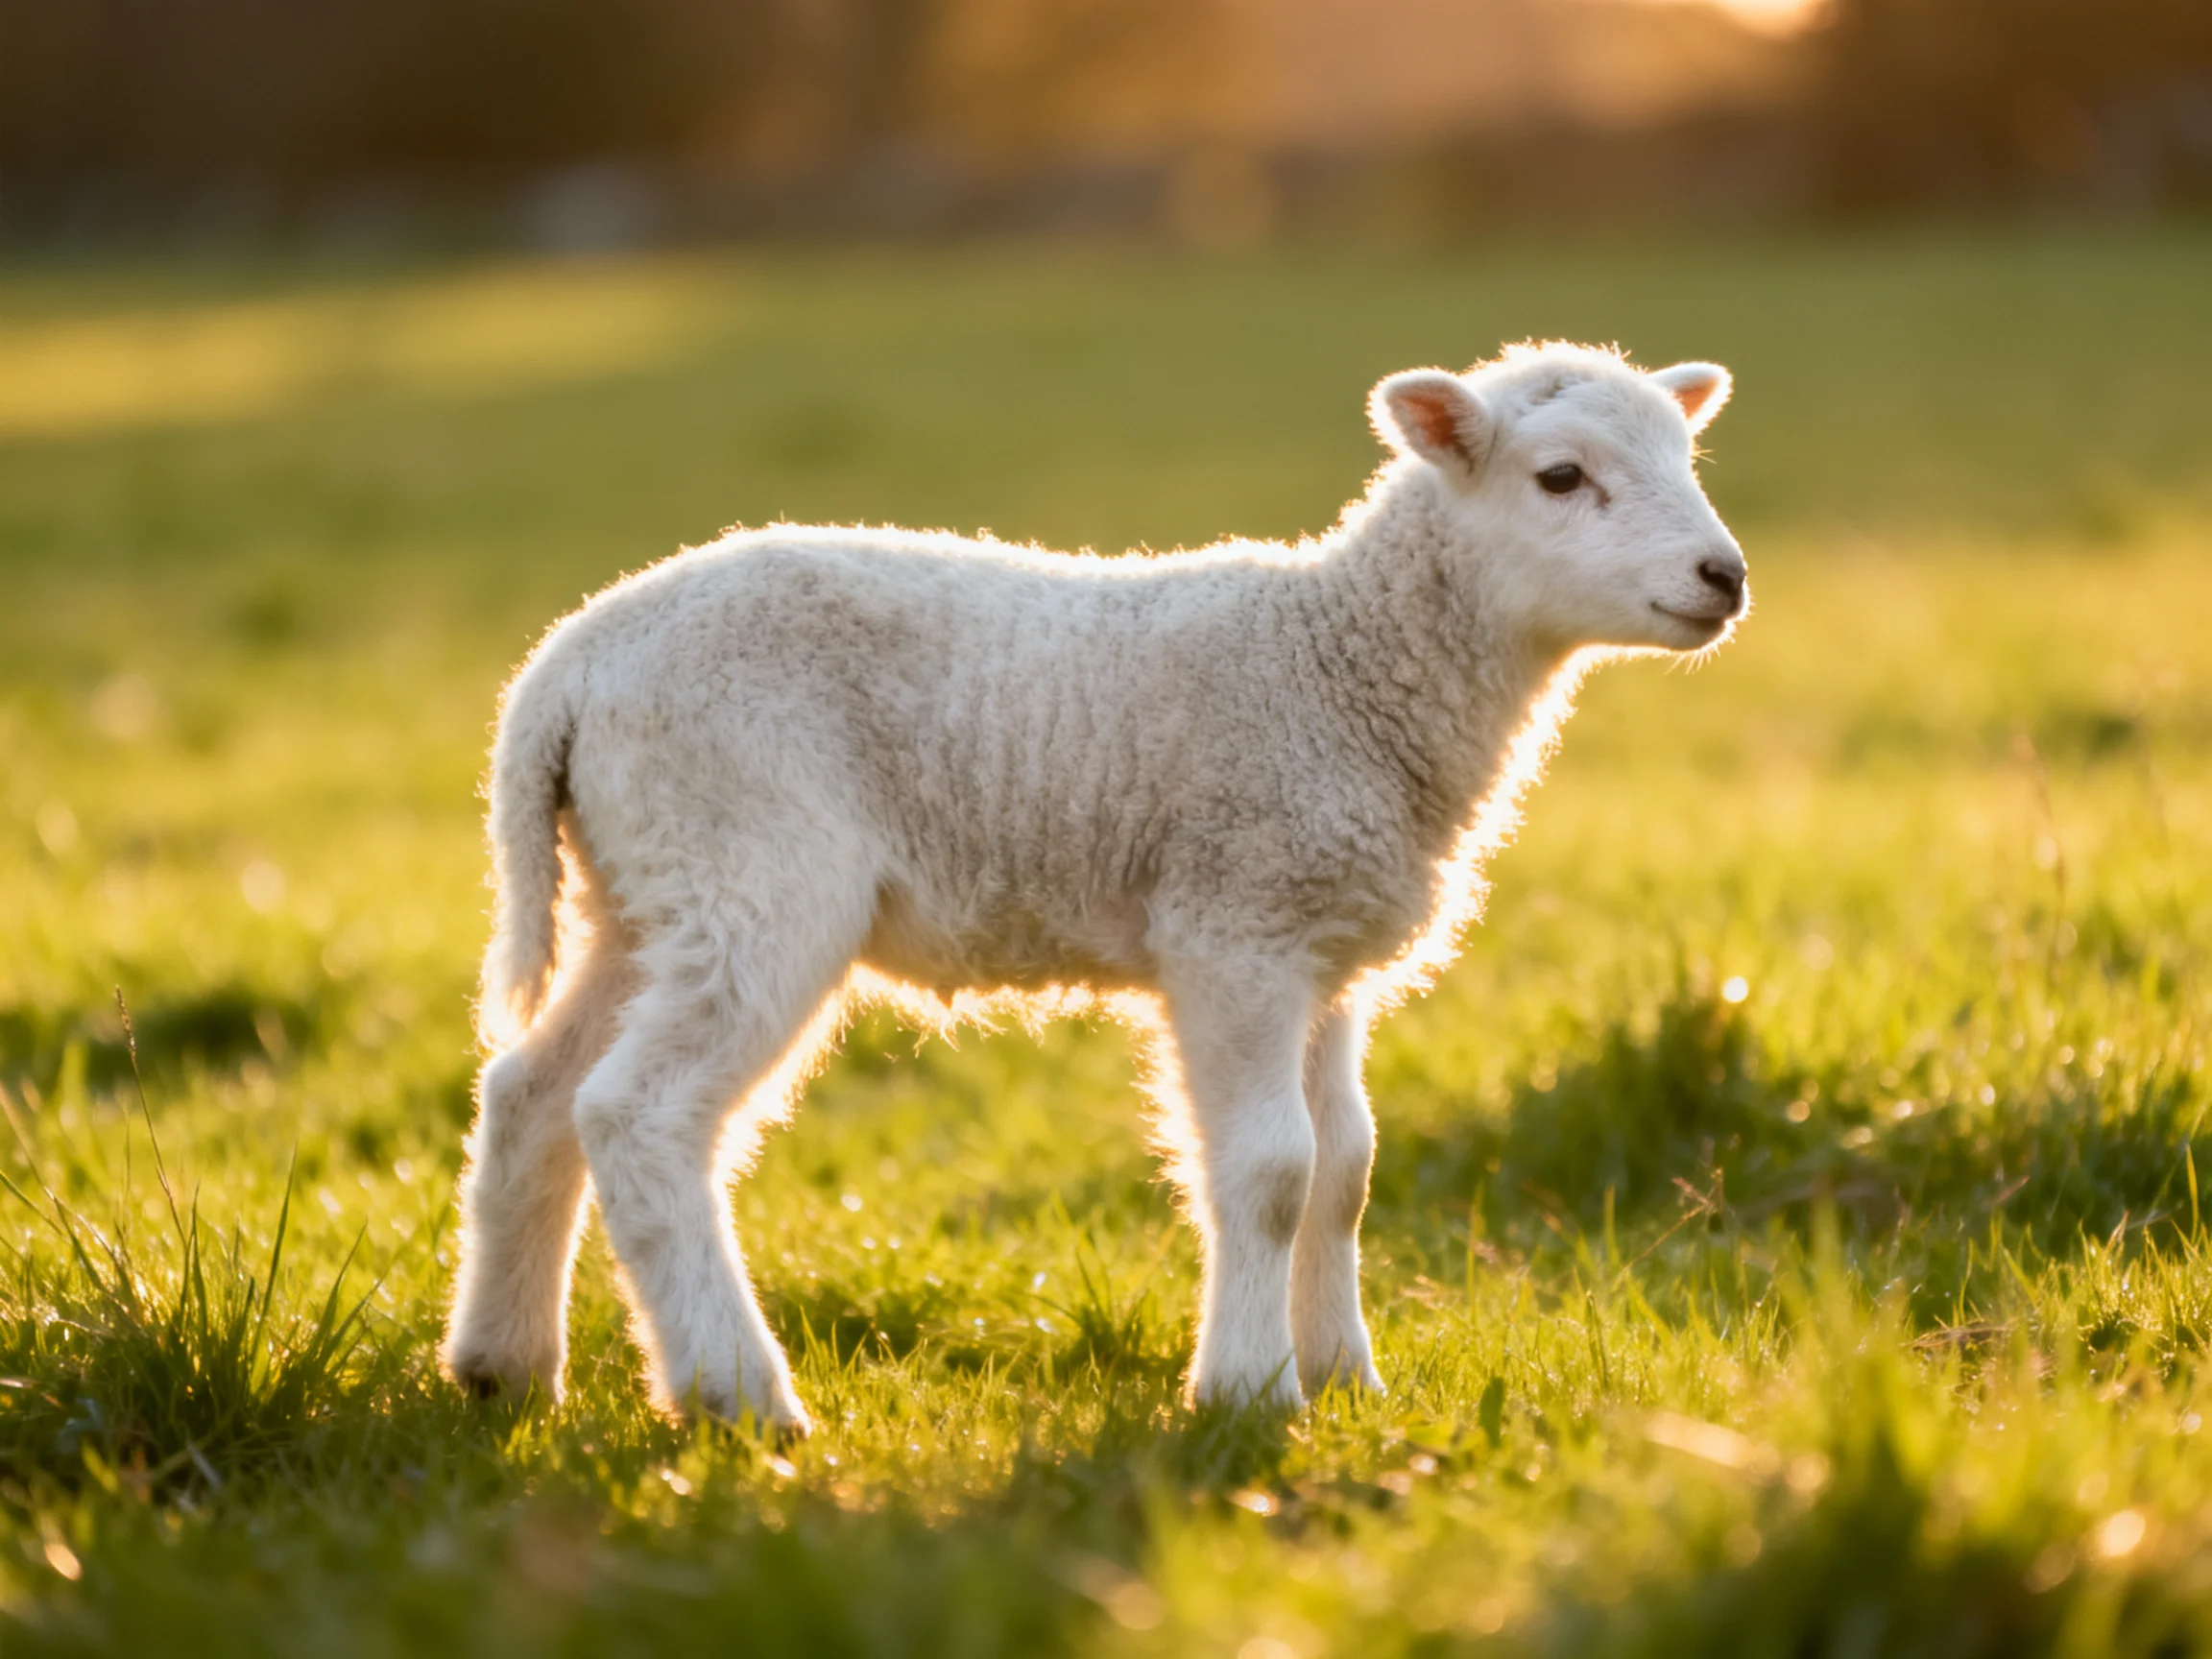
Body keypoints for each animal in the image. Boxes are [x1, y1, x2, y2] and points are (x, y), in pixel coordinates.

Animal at [439, 341, 1748, 1437]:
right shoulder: (1234, 928)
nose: (1725, 577)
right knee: (636, 1115)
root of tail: (565, 668)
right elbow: (1271, 1174)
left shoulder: (1322, 952)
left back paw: (504, 1369)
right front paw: (1250, 1394)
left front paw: (1346, 1379)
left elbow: (1346, 1171)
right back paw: (739, 1397)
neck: (1341, 665)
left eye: (1687, 460)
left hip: (645, 891)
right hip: (751, 864)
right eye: (1561, 476)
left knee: (530, 1093)